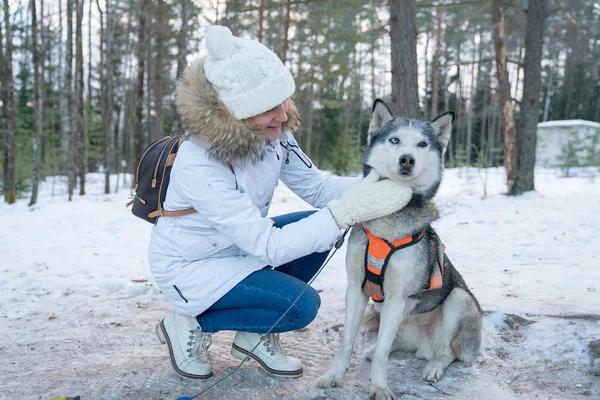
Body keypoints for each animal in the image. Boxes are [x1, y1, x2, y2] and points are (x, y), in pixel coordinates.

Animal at [318, 100, 482, 400]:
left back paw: (434, 366)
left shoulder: (396, 298)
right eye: (394, 140)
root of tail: (422, 346)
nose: (407, 159)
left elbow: (385, 353)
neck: (387, 224)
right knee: (390, 340)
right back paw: (374, 350)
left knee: (447, 351)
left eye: (422, 144)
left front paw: (379, 387)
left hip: (459, 300)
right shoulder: (356, 289)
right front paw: (335, 376)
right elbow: (347, 341)